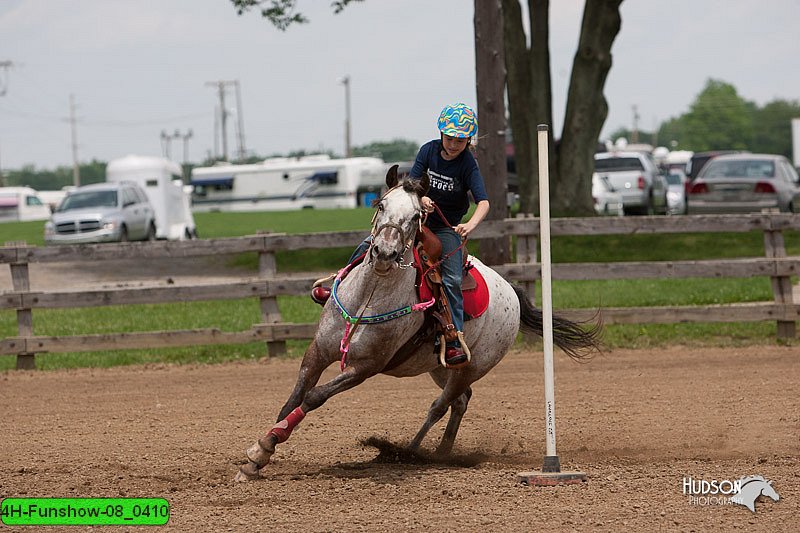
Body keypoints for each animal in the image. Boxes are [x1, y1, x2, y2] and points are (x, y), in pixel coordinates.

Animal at [236, 164, 600, 480]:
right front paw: (259, 455)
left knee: (441, 405)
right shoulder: (317, 352)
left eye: (415, 216)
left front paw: (263, 447)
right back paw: (440, 452)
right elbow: (292, 400)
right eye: (381, 204)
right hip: (439, 367)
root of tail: (509, 289)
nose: (384, 253)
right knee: (460, 401)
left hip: (472, 365)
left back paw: (410, 452)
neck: (369, 295)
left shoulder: (365, 367)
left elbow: (313, 397)